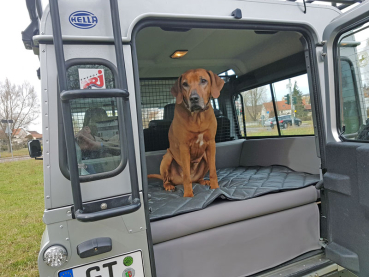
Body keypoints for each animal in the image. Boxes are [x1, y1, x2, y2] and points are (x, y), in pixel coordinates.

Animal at [147, 68, 224, 196]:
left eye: (203, 80)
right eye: (185, 84)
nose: (194, 98)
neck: (197, 117)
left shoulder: (211, 144)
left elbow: (213, 171)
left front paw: (215, 188)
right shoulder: (184, 147)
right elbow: (186, 176)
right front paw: (188, 195)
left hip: (205, 158)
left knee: (198, 178)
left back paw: (203, 181)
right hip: (167, 157)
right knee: (167, 179)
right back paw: (169, 186)